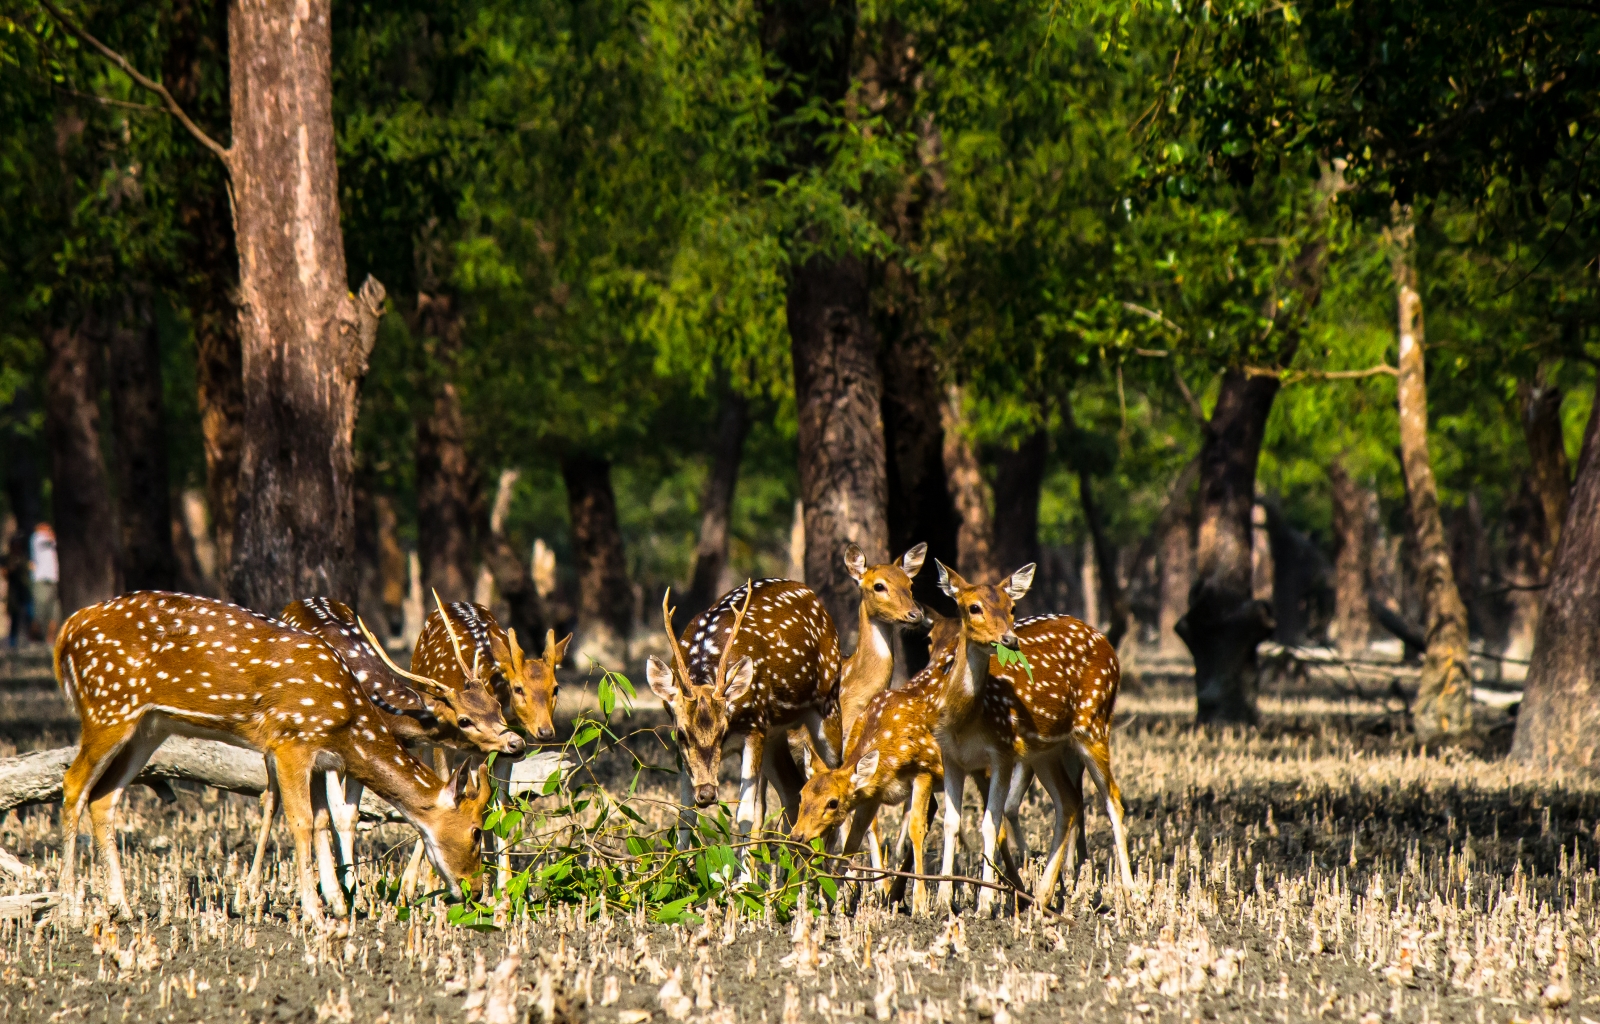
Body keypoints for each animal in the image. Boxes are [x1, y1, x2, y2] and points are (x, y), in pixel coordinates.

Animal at [56, 588, 489, 921]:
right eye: (476, 831)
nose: (476, 890)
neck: (347, 721)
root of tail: (67, 630)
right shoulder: (291, 739)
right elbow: (300, 820)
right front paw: (314, 912)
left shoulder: (320, 756)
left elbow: (320, 819)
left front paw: (338, 905)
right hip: (108, 706)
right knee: (73, 784)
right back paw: (70, 909)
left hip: (148, 727)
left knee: (104, 797)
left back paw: (123, 908)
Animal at [643, 579, 844, 844]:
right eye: (681, 734)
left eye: (722, 732)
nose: (707, 794)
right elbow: (685, 814)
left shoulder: (754, 727)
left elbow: (747, 814)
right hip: (773, 736)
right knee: (793, 790)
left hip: (828, 704)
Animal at [934, 563, 1132, 915]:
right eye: (973, 607)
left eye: (1012, 608)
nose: (1009, 639)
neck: (965, 720)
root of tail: (1107, 644)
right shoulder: (951, 756)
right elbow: (951, 823)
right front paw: (942, 902)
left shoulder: (1002, 750)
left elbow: (990, 822)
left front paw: (984, 904)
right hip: (1046, 751)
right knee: (1069, 801)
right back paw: (1043, 895)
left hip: (1094, 724)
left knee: (1113, 799)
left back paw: (1133, 892)